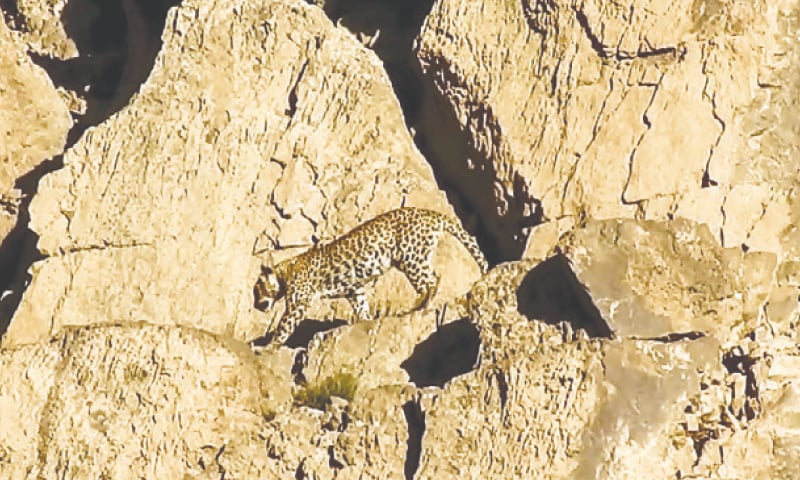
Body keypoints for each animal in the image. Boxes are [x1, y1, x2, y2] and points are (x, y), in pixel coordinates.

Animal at [255, 206, 488, 344]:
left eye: (257, 290)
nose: (257, 306)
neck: (285, 271)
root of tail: (432, 214)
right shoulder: (355, 291)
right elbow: (362, 308)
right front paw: (365, 322)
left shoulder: (299, 303)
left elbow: (284, 326)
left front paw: (269, 346)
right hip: (417, 256)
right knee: (434, 276)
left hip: (410, 257)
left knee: (431, 281)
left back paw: (417, 306)